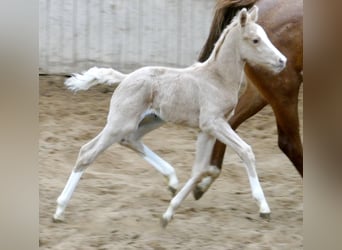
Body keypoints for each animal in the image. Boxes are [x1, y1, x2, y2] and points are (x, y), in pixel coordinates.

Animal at [53, 6, 286, 228]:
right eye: (255, 40)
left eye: (266, 36)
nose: (282, 60)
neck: (216, 79)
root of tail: (126, 77)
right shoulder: (213, 123)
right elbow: (245, 151)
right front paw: (264, 207)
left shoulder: (207, 130)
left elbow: (199, 169)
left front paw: (169, 213)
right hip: (120, 123)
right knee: (87, 152)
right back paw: (59, 210)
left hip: (151, 120)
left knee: (130, 140)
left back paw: (172, 181)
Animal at [194, 0, 304, 199]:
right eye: (256, 40)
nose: (281, 60)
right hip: (283, 87)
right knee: (289, 143)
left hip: (263, 91)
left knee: (229, 122)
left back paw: (206, 179)